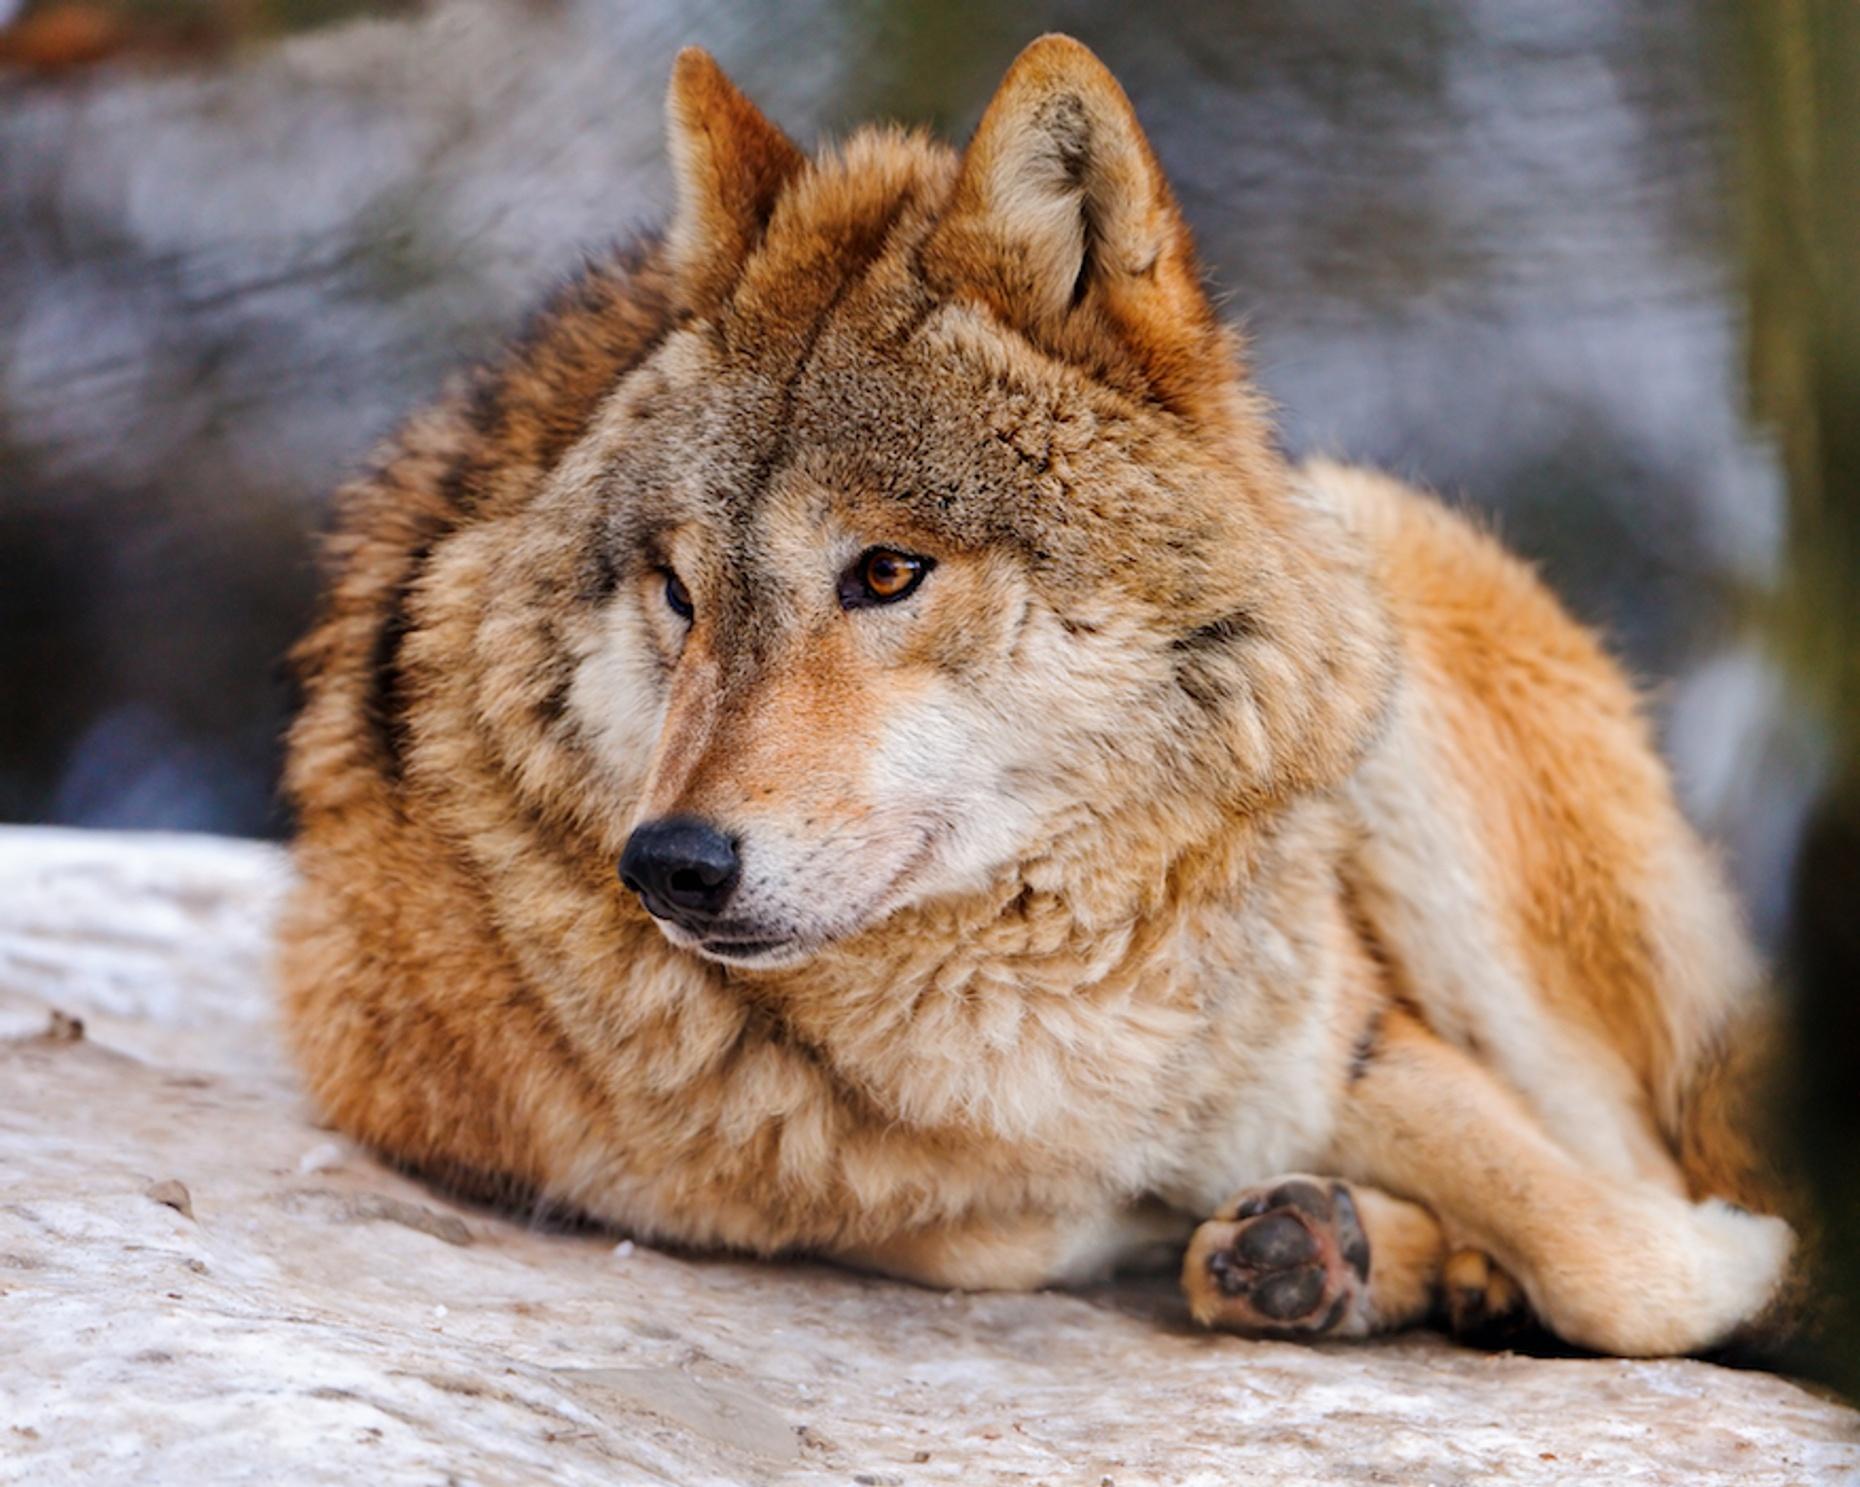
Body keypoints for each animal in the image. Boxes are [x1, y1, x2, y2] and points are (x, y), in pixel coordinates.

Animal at [282, 37, 1793, 1362]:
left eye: (887, 571)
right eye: (678, 590)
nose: (670, 864)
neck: (1045, 969)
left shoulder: (1336, 1033)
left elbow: (1629, 1261)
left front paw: (1727, 1257)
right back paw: (1324, 1251)